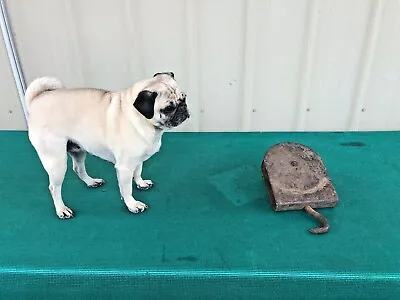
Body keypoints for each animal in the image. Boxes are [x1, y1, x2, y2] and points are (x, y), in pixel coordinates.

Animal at [25, 71, 191, 219]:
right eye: (168, 108)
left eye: (184, 98)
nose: (183, 108)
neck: (141, 119)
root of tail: (36, 99)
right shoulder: (124, 167)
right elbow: (127, 189)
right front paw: (132, 205)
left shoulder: (137, 159)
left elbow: (138, 172)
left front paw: (141, 183)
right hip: (56, 161)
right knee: (54, 188)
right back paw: (62, 210)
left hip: (78, 150)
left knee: (78, 169)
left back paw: (91, 182)